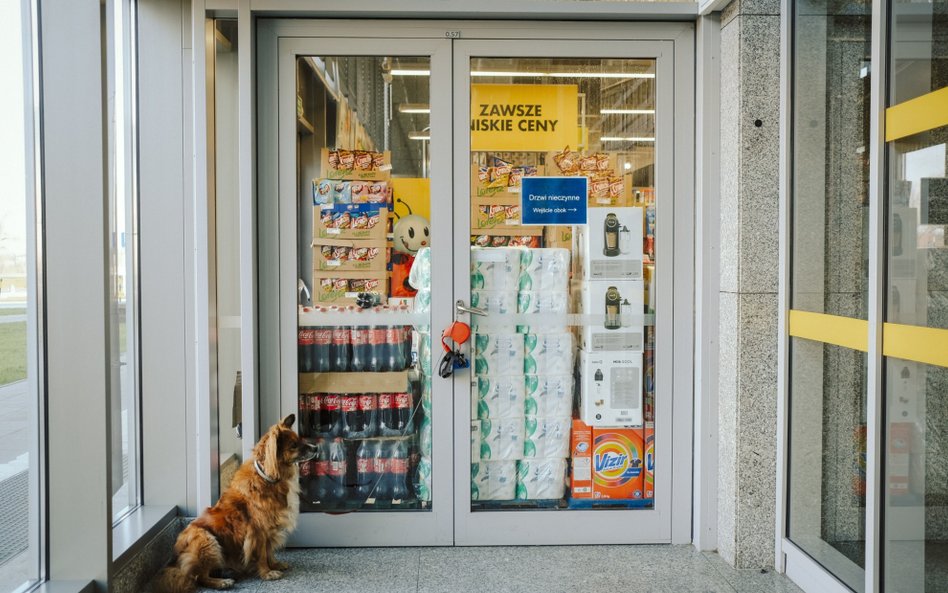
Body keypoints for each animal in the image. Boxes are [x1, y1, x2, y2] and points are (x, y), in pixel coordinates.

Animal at [150, 414, 316, 588]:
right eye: (293, 445)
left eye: (299, 439)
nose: (316, 448)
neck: (268, 478)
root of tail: (175, 560)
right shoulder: (258, 530)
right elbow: (262, 554)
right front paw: (267, 573)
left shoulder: (269, 528)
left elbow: (269, 550)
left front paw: (275, 564)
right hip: (207, 540)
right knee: (199, 577)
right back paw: (222, 582)